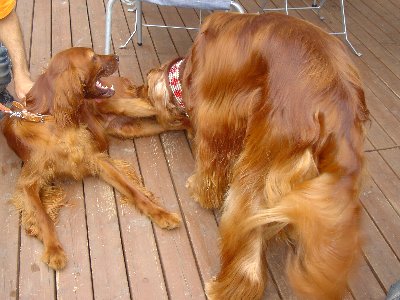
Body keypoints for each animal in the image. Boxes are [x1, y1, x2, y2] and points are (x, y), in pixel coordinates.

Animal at [1, 47, 180, 270]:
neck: (52, 120)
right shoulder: (28, 182)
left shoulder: (98, 160)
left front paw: (161, 213)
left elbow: (131, 188)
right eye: (93, 57)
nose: (116, 57)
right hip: (130, 128)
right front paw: (53, 249)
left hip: (129, 107)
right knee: (167, 123)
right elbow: (43, 216)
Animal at [99, 12, 368, 300]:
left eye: (144, 86)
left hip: (260, 165)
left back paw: (229, 288)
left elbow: (209, 164)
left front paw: (200, 190)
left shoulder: (216, 120)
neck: (188, 70)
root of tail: (337, 108)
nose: (137, 90)